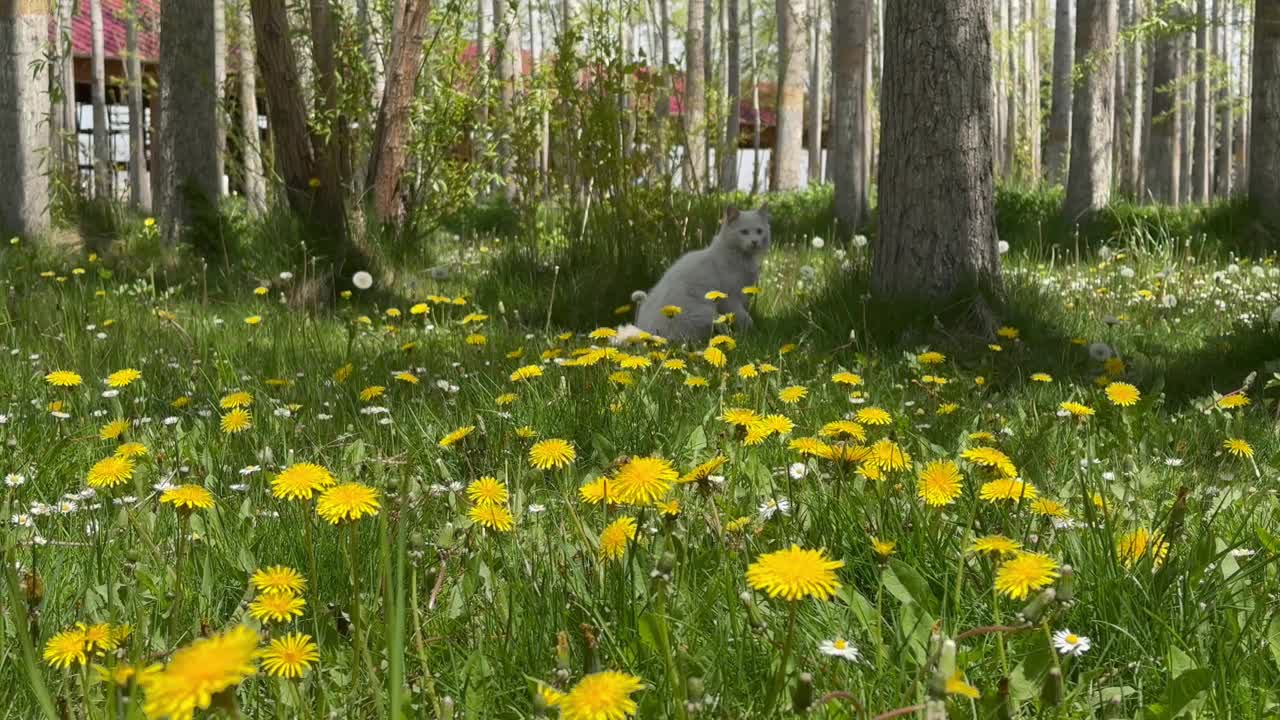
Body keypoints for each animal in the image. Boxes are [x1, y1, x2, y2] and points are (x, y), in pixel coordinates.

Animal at [616, 206, 768, 343]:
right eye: (744, 232)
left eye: (759, 231)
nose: (754, 242)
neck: (741, 258)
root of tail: (648, 333)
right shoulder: (730, 298)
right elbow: (745, 318)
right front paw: (752, 333)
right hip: (706, 313)